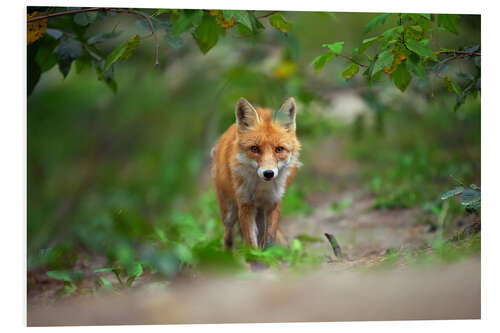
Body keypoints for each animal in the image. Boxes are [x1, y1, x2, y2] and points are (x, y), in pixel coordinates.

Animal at [210, 97, 300, 248]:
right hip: (229, 212)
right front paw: (253, 254)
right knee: (228, 235)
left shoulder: (273, 202)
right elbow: (251, 242)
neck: (261, 189)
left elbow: (269, 239)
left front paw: (269, 253)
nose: (268, 173)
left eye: (279, 149)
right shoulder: (245, 204)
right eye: (255, 149)